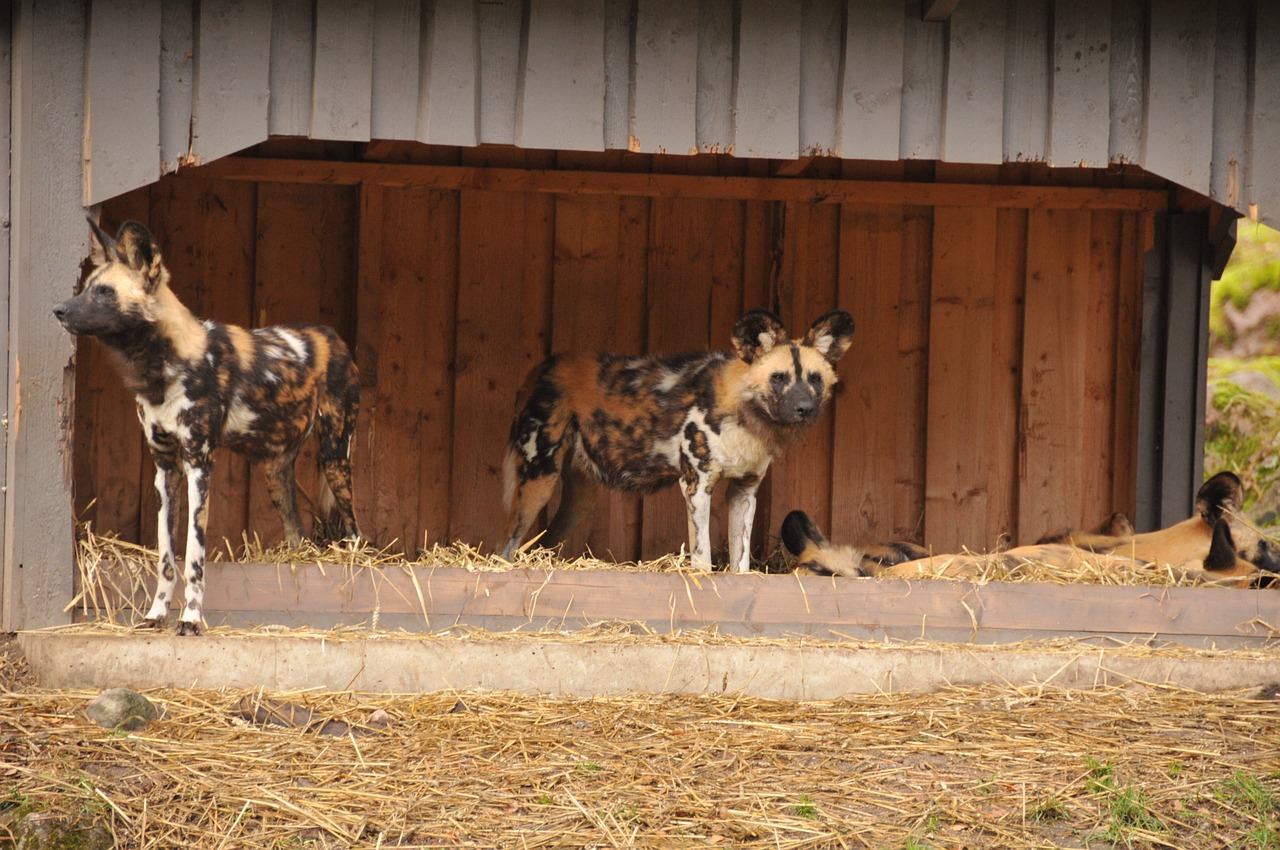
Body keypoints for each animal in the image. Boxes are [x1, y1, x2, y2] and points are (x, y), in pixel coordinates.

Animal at [52, 222, 358, 634]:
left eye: (105, 293)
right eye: (86, 287)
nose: (58, 309)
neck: (164, 363)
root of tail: (333, 336)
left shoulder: (199, 464)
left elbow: (194, 556)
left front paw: (191, 619)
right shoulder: (165, 469)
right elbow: (167, 558)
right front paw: (156, 614)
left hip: (335, 458)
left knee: (356, 530)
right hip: (276, 474)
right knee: (296, 531)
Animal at [496, 307, 849, 570]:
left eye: (815, 379)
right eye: (778, 378)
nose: (805, 408)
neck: (744, 413)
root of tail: (541, 368)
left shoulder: (744, 492)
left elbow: (741, 561)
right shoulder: (697, 485)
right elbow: (702, 558)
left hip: (580, 496)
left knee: (539, 545)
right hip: (538, 479)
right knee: (506, 548)